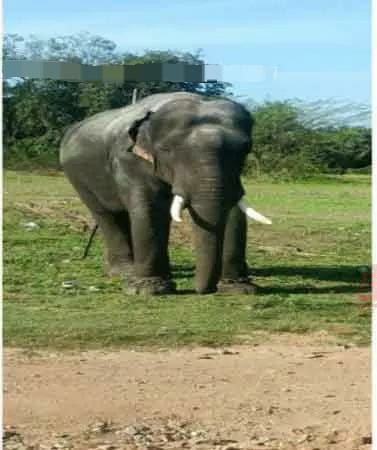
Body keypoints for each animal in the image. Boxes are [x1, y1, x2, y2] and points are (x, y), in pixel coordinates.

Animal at [59, 92, 270, 296]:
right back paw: (125, 272)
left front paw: (239, 289)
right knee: (106, 215)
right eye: (166, 150)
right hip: (77, 177)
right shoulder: (129, 160)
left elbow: (235, 214)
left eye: (245, 149)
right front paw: (147, 290)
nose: (204, 291)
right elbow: (149, 209)